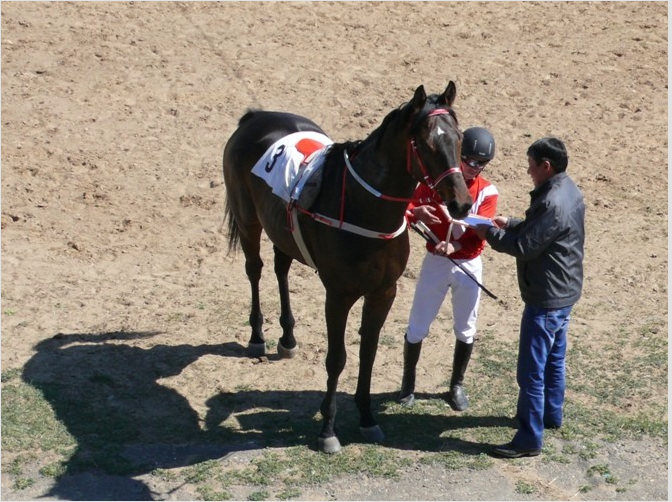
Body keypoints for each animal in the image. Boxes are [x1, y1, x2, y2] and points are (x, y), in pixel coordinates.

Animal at [223, 80, 470, 452]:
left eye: (458, 139)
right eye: (425, 144)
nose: (462, 203)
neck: (364, 206)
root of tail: (255, 117)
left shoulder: (384, 292)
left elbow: (368, 352)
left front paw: (367, 418)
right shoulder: (338, 295)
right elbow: (337, 358)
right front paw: (328, 429)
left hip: (281, 229)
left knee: (281, 268)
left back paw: (288, 337)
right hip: (248, 219)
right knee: (255, 269)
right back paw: (257, 336)